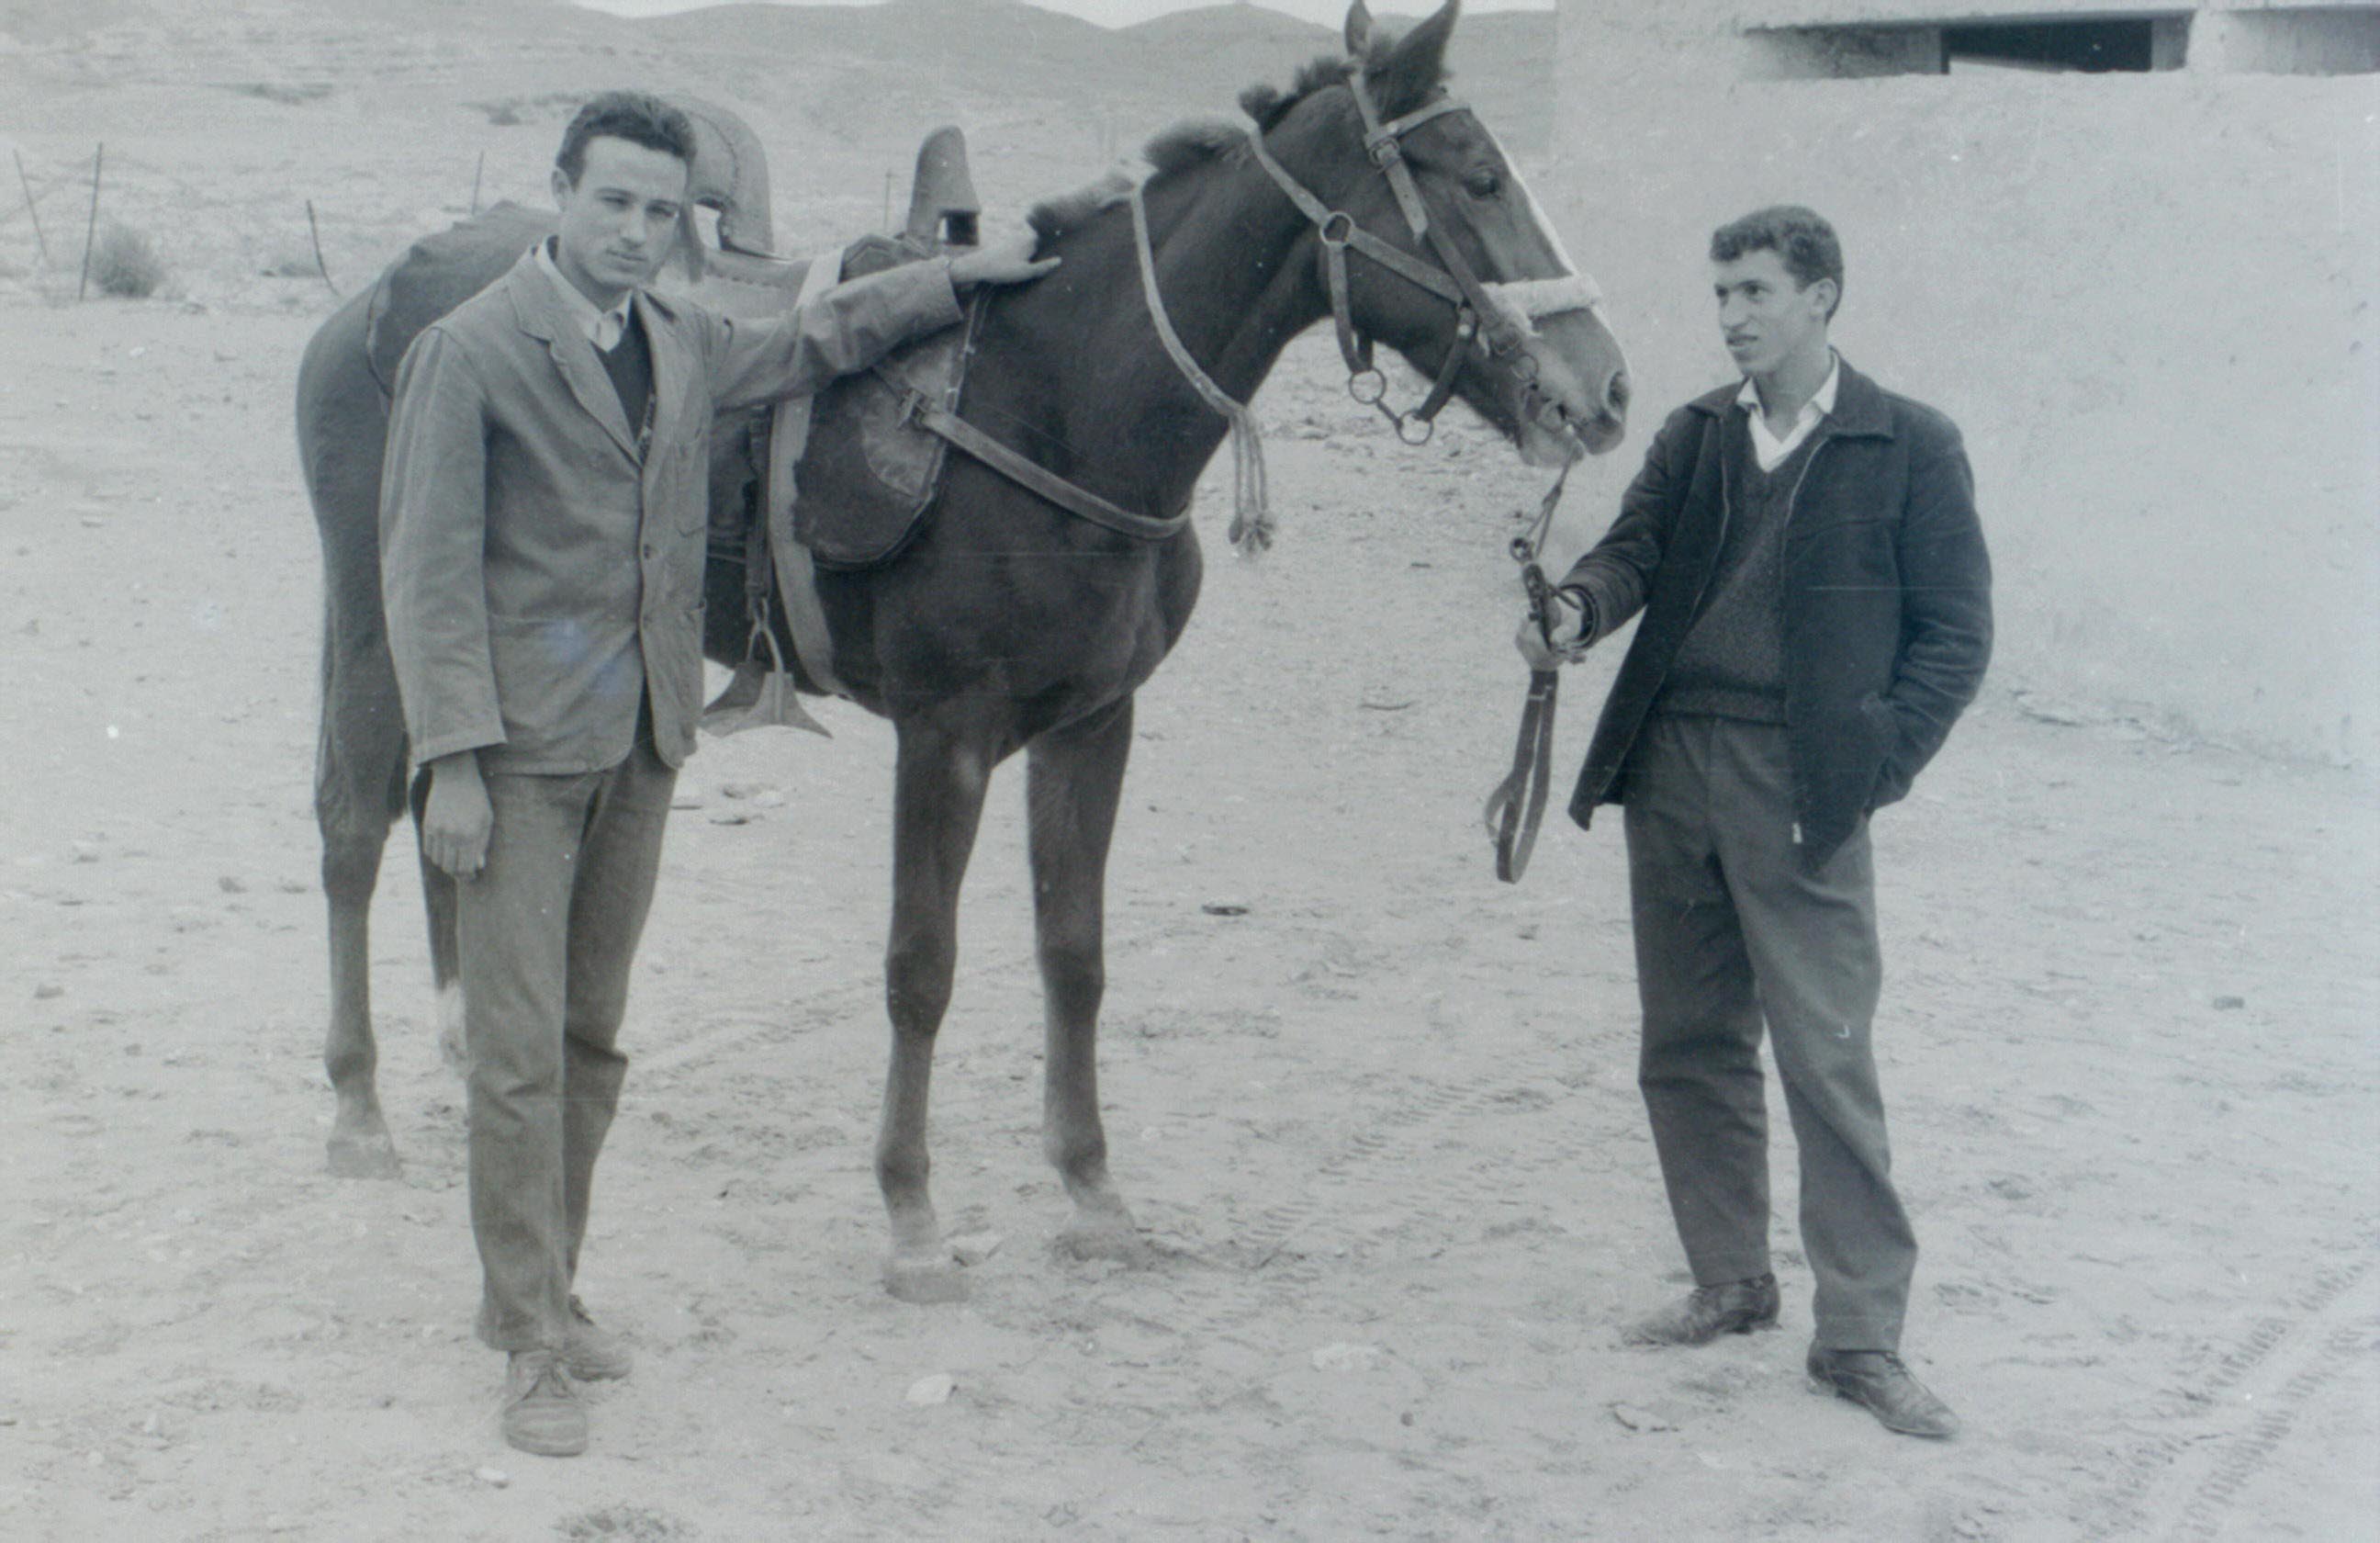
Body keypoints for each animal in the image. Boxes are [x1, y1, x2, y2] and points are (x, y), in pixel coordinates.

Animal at [296, 0, 1630, 1304]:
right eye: (1478, 177)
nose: (1605, 391)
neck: (1059, 405)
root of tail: (375, 301)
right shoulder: (946, 736)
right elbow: (921, 968)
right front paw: (912, 1216)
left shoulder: (1094, 724)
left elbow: (1074, 955)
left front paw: (1092, 1191)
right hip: (378, 612)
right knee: (359, 823)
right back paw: (358, 1109)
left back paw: (461, 1035)